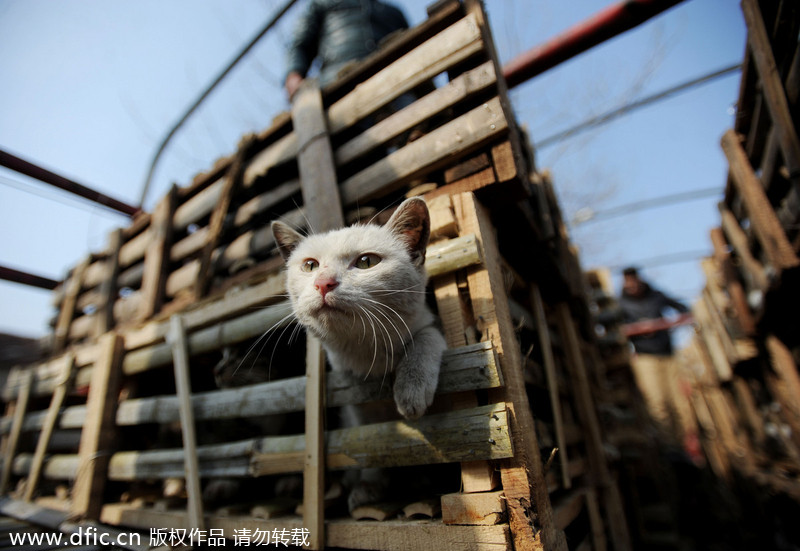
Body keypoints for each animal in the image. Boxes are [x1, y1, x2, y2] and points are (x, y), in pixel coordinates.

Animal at [272, 197, 446, 418]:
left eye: (366, 261)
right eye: (310, 265)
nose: (323, 283)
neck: (368, 355)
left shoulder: (430, 324)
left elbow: (428, 335)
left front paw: (412, 386)